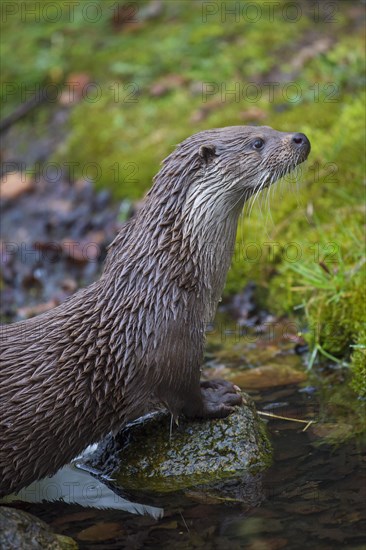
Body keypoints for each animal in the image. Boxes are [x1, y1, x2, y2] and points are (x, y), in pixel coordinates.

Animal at [0, 127, 310, 498]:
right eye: (257, 142)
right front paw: (218, 396)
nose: (300, 137)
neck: (163, 284)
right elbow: (185, 397)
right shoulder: (170, 347)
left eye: (267, 128)